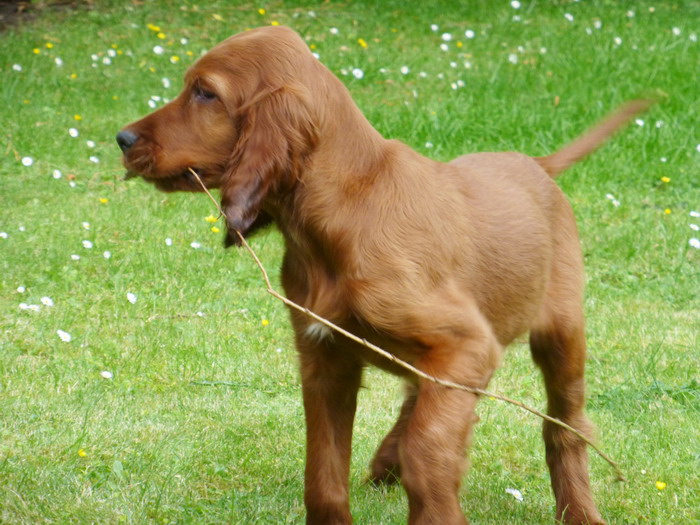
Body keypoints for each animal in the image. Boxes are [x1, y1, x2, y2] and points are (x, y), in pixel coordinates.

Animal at [117, 25, 650, 524]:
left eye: (205, 92)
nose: (123, 139)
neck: (345, 209)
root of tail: (534, 164)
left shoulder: (467, 343)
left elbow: (427, 449)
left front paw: (438, 511)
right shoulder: (325, 358)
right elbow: (324, 472)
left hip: (561, 334)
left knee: (564, 425)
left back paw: (579, 510)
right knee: (421, 395)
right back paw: (387, 461)